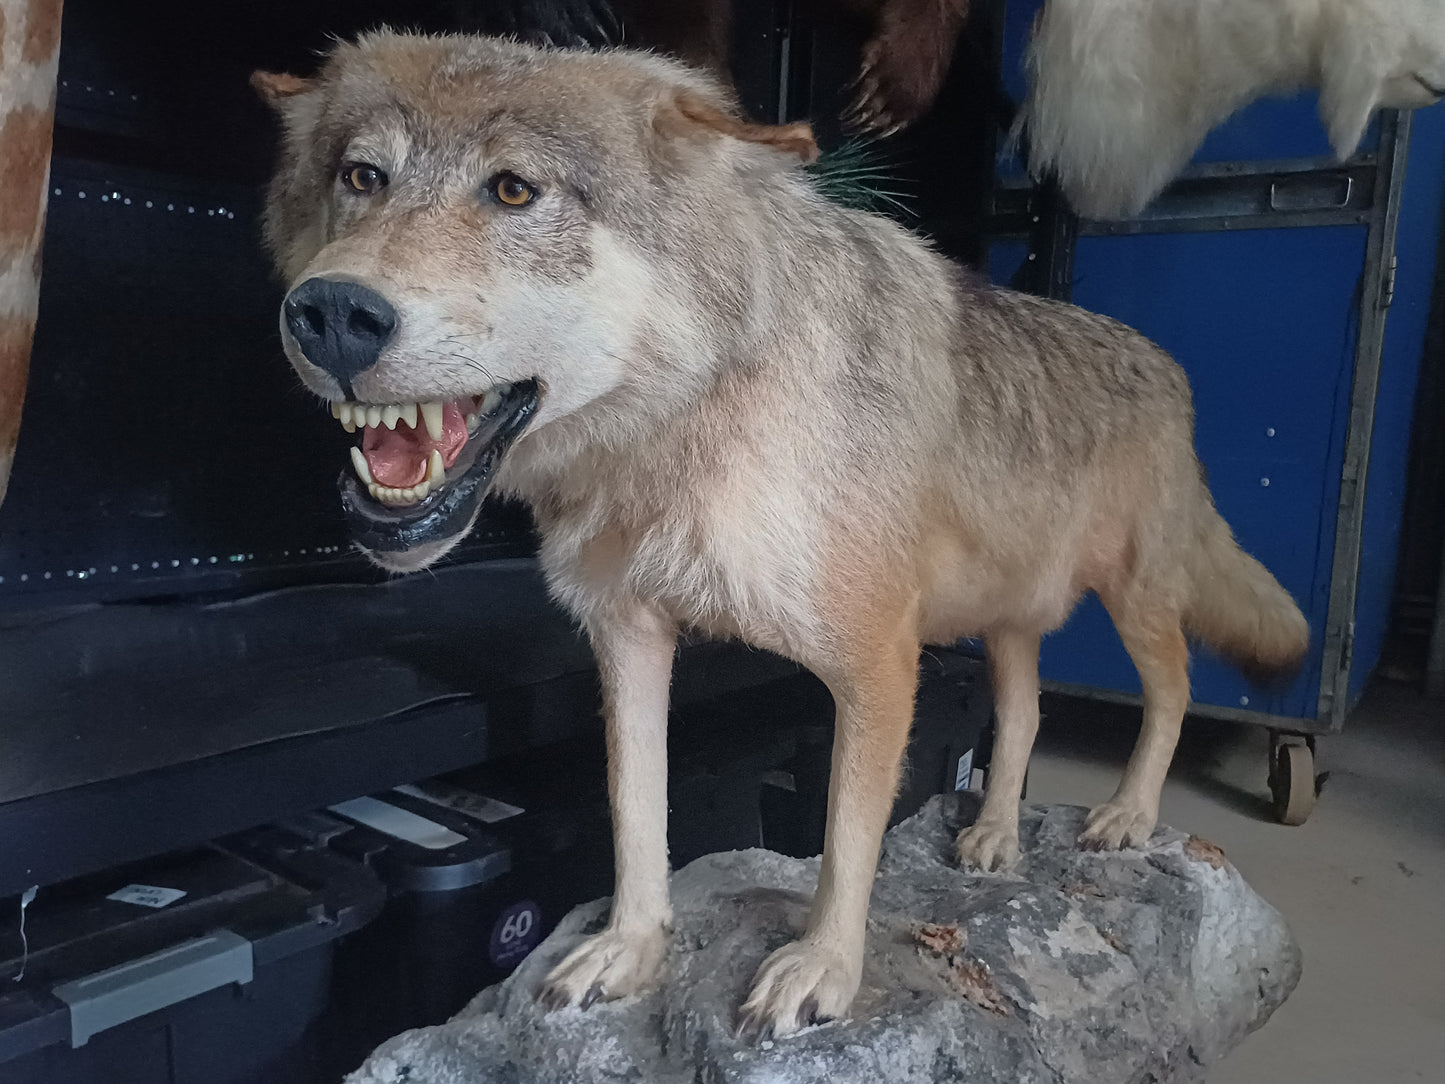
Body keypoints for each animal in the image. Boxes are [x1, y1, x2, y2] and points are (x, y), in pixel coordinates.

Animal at [254, 32, 1308, 1038]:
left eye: (513, 189)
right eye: (362, 177)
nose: (332, 315)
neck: (682, 430)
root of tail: (1165, 365)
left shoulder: (878, 664)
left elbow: (844, 840)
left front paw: (821, 973)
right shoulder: (626, 638)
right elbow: (635, 814)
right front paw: (630, 950)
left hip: (1134, 604)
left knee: (1171, 694)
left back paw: (1127, 816)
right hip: (1008, 621)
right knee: (1023, 714)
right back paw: (994, 838)